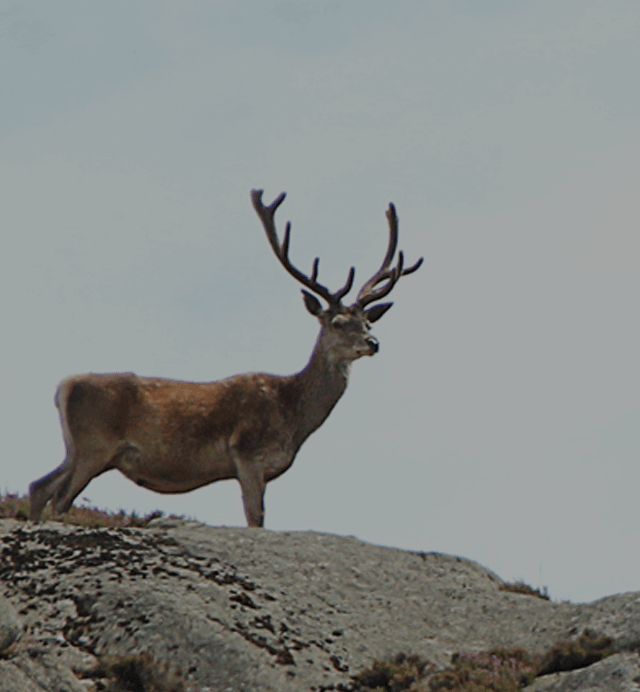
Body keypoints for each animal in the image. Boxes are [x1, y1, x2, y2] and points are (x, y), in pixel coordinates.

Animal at [30, 189, 422, 524]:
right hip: (94, 445)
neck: (293, 415)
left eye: (368, 321)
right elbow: (256, 518)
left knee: (39, 486)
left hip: (77, 449)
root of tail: (63, 387)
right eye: (338, 323)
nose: (373, 342)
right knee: (59, 499)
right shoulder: (247, 454)